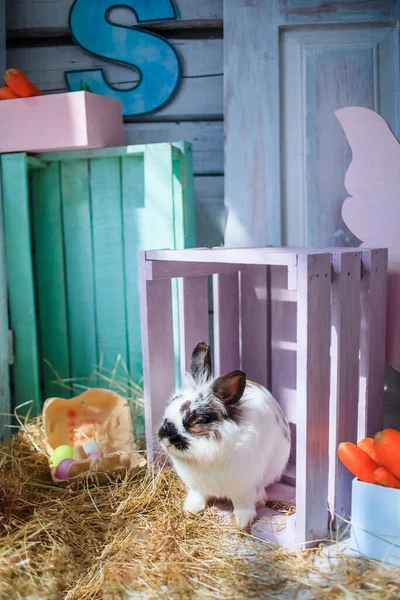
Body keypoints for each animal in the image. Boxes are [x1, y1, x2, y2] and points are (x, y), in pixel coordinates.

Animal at [157, 340, 290, 528]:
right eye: (169, 407)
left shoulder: (245, 488)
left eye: (197, 420)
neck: (203, 457)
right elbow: (198, 496)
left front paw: (242, 522)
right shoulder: (197, 486)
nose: (165, 439)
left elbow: (243, 504)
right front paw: (190, 509)